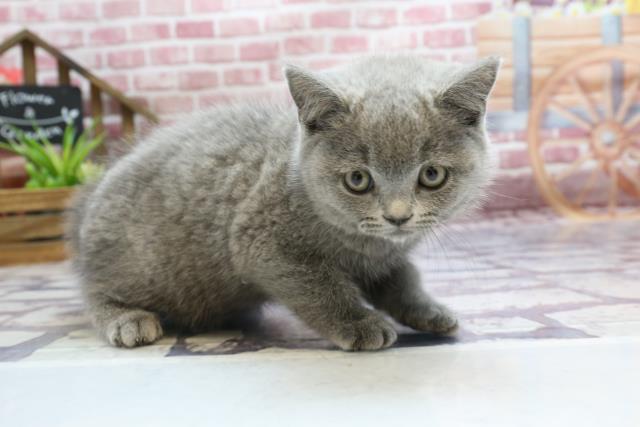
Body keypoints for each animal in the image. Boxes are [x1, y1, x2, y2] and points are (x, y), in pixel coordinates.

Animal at [69, 54, 500, 352]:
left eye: (431, 175)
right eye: (358, 180)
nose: (398, 216)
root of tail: (92, 194)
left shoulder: (385, 256)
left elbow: (402, 279)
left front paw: (429, 311)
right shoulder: (263, 242)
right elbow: (321, 287)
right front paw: (359, 323)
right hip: (138, 264)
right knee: (94, 292)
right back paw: (127, 320)